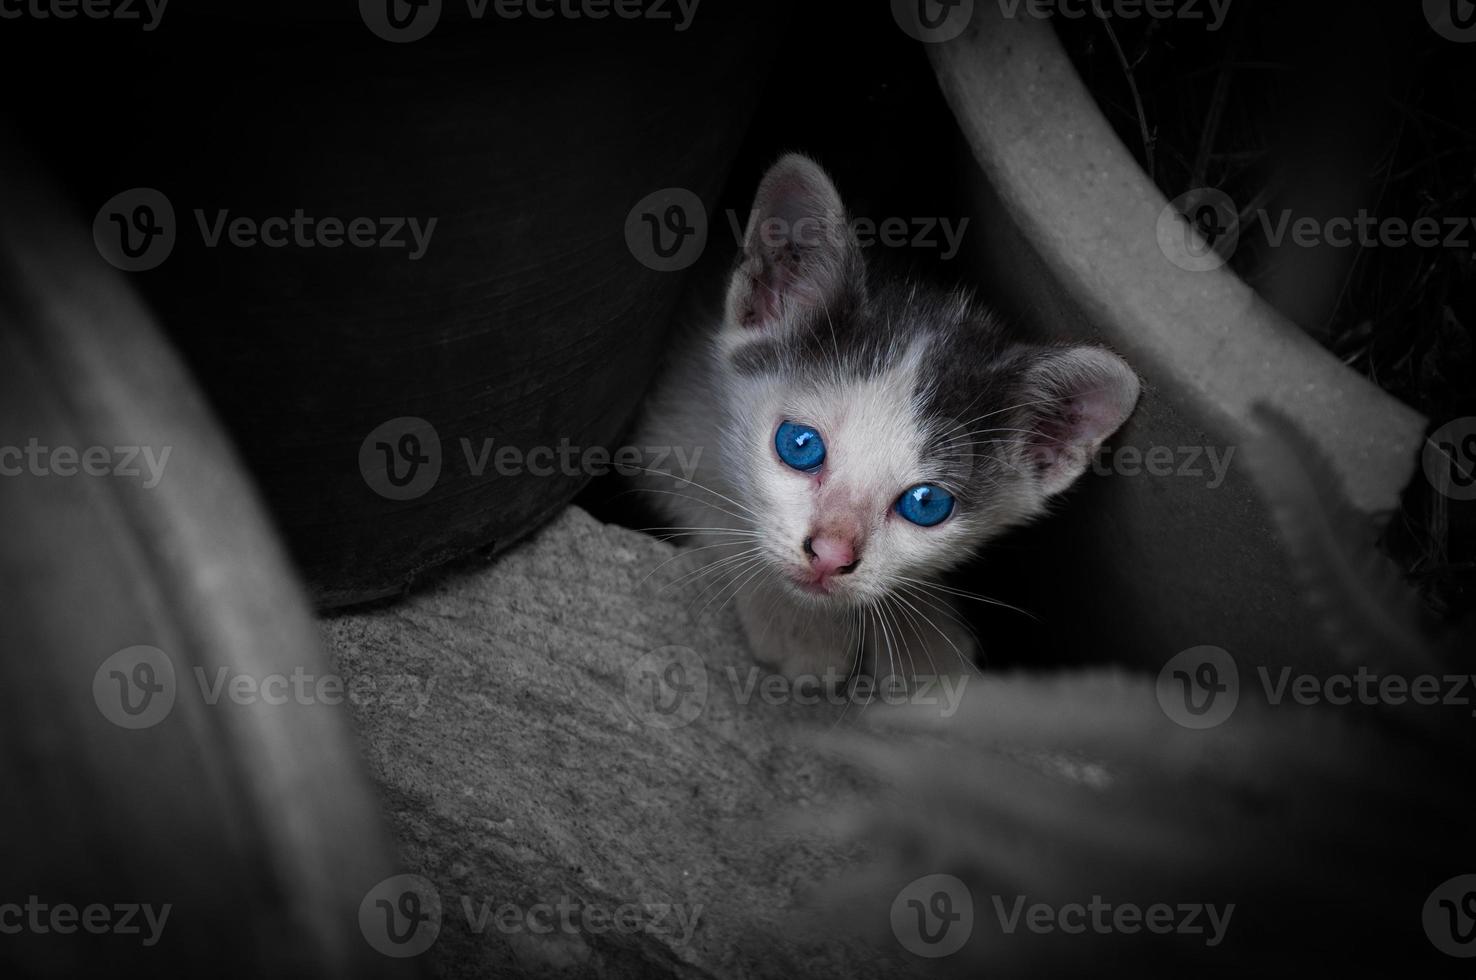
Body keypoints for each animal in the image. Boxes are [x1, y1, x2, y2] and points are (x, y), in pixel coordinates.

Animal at [634, 157, 1139, 684]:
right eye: (800, 445)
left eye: (926, 503)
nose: (831, 557)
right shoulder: (669, 415)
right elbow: (703, 497)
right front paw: (797, 621)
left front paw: (923, 637)